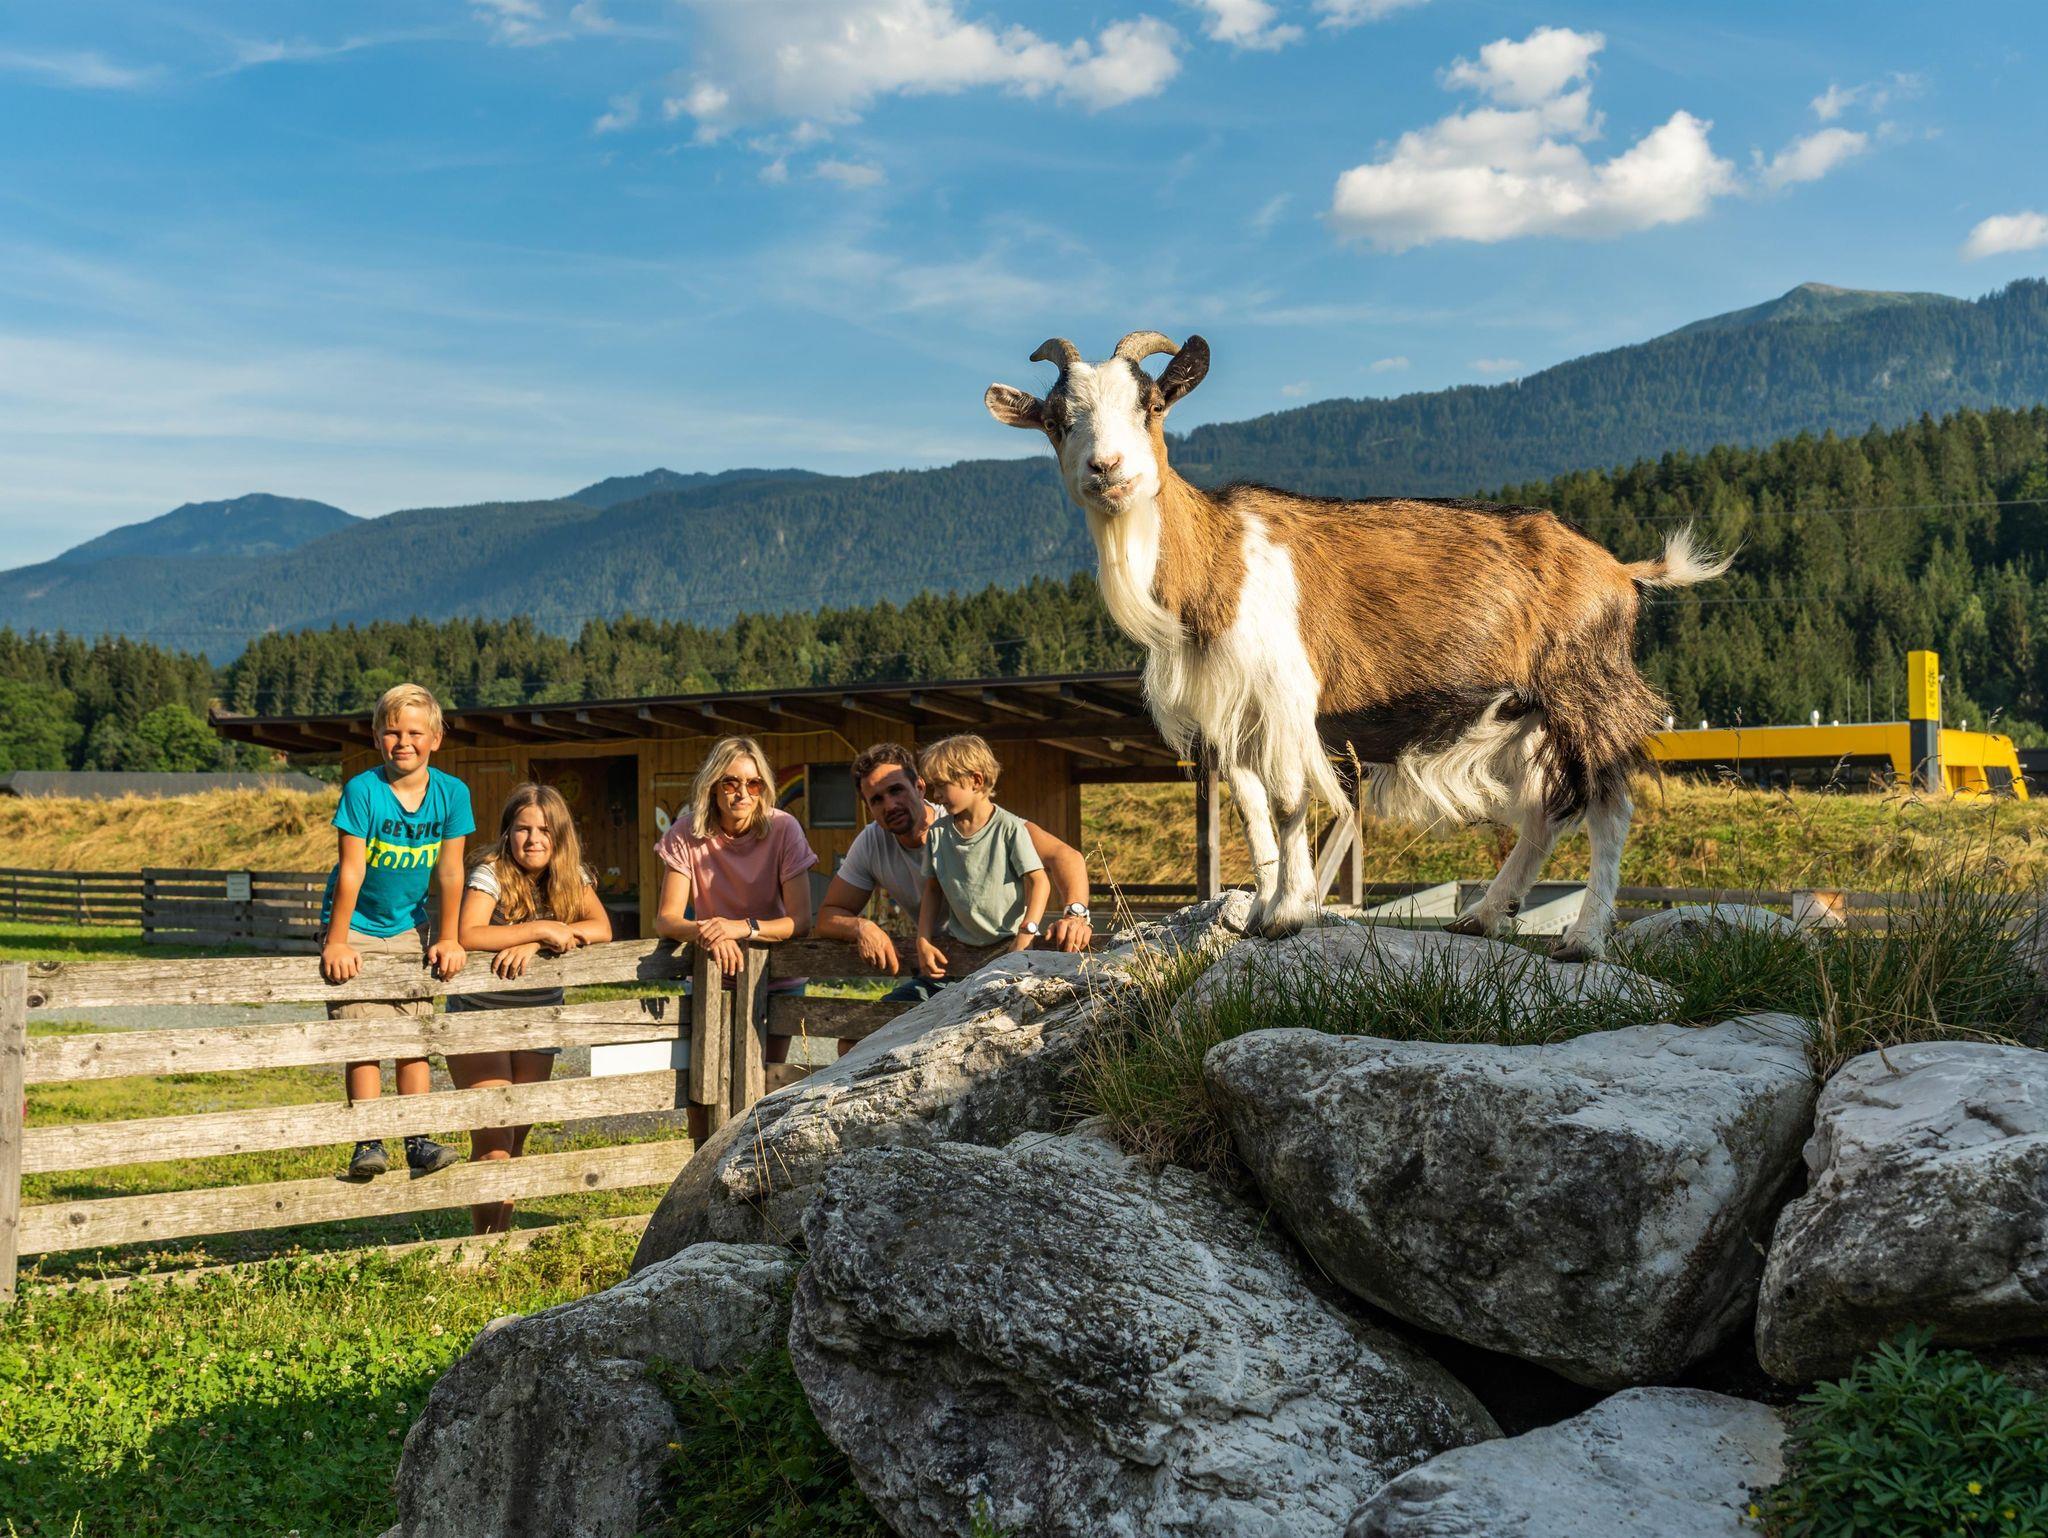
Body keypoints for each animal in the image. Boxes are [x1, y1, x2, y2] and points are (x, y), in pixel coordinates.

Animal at [985, 331, 1730, 958]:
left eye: (1153, 403)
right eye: (1057, 419)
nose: (1107, 469)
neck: (1218, 564)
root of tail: (1619, 571)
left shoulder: (1284, 694)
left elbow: (1289, 802)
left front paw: (1288, 914)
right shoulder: (1227, 712)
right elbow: (1251, 810)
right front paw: (1260, 911)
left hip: (1586, 692)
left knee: (1609, 807)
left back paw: (1583, 938)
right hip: (1525, 715)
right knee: (1545, 813)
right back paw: (1484, 916)